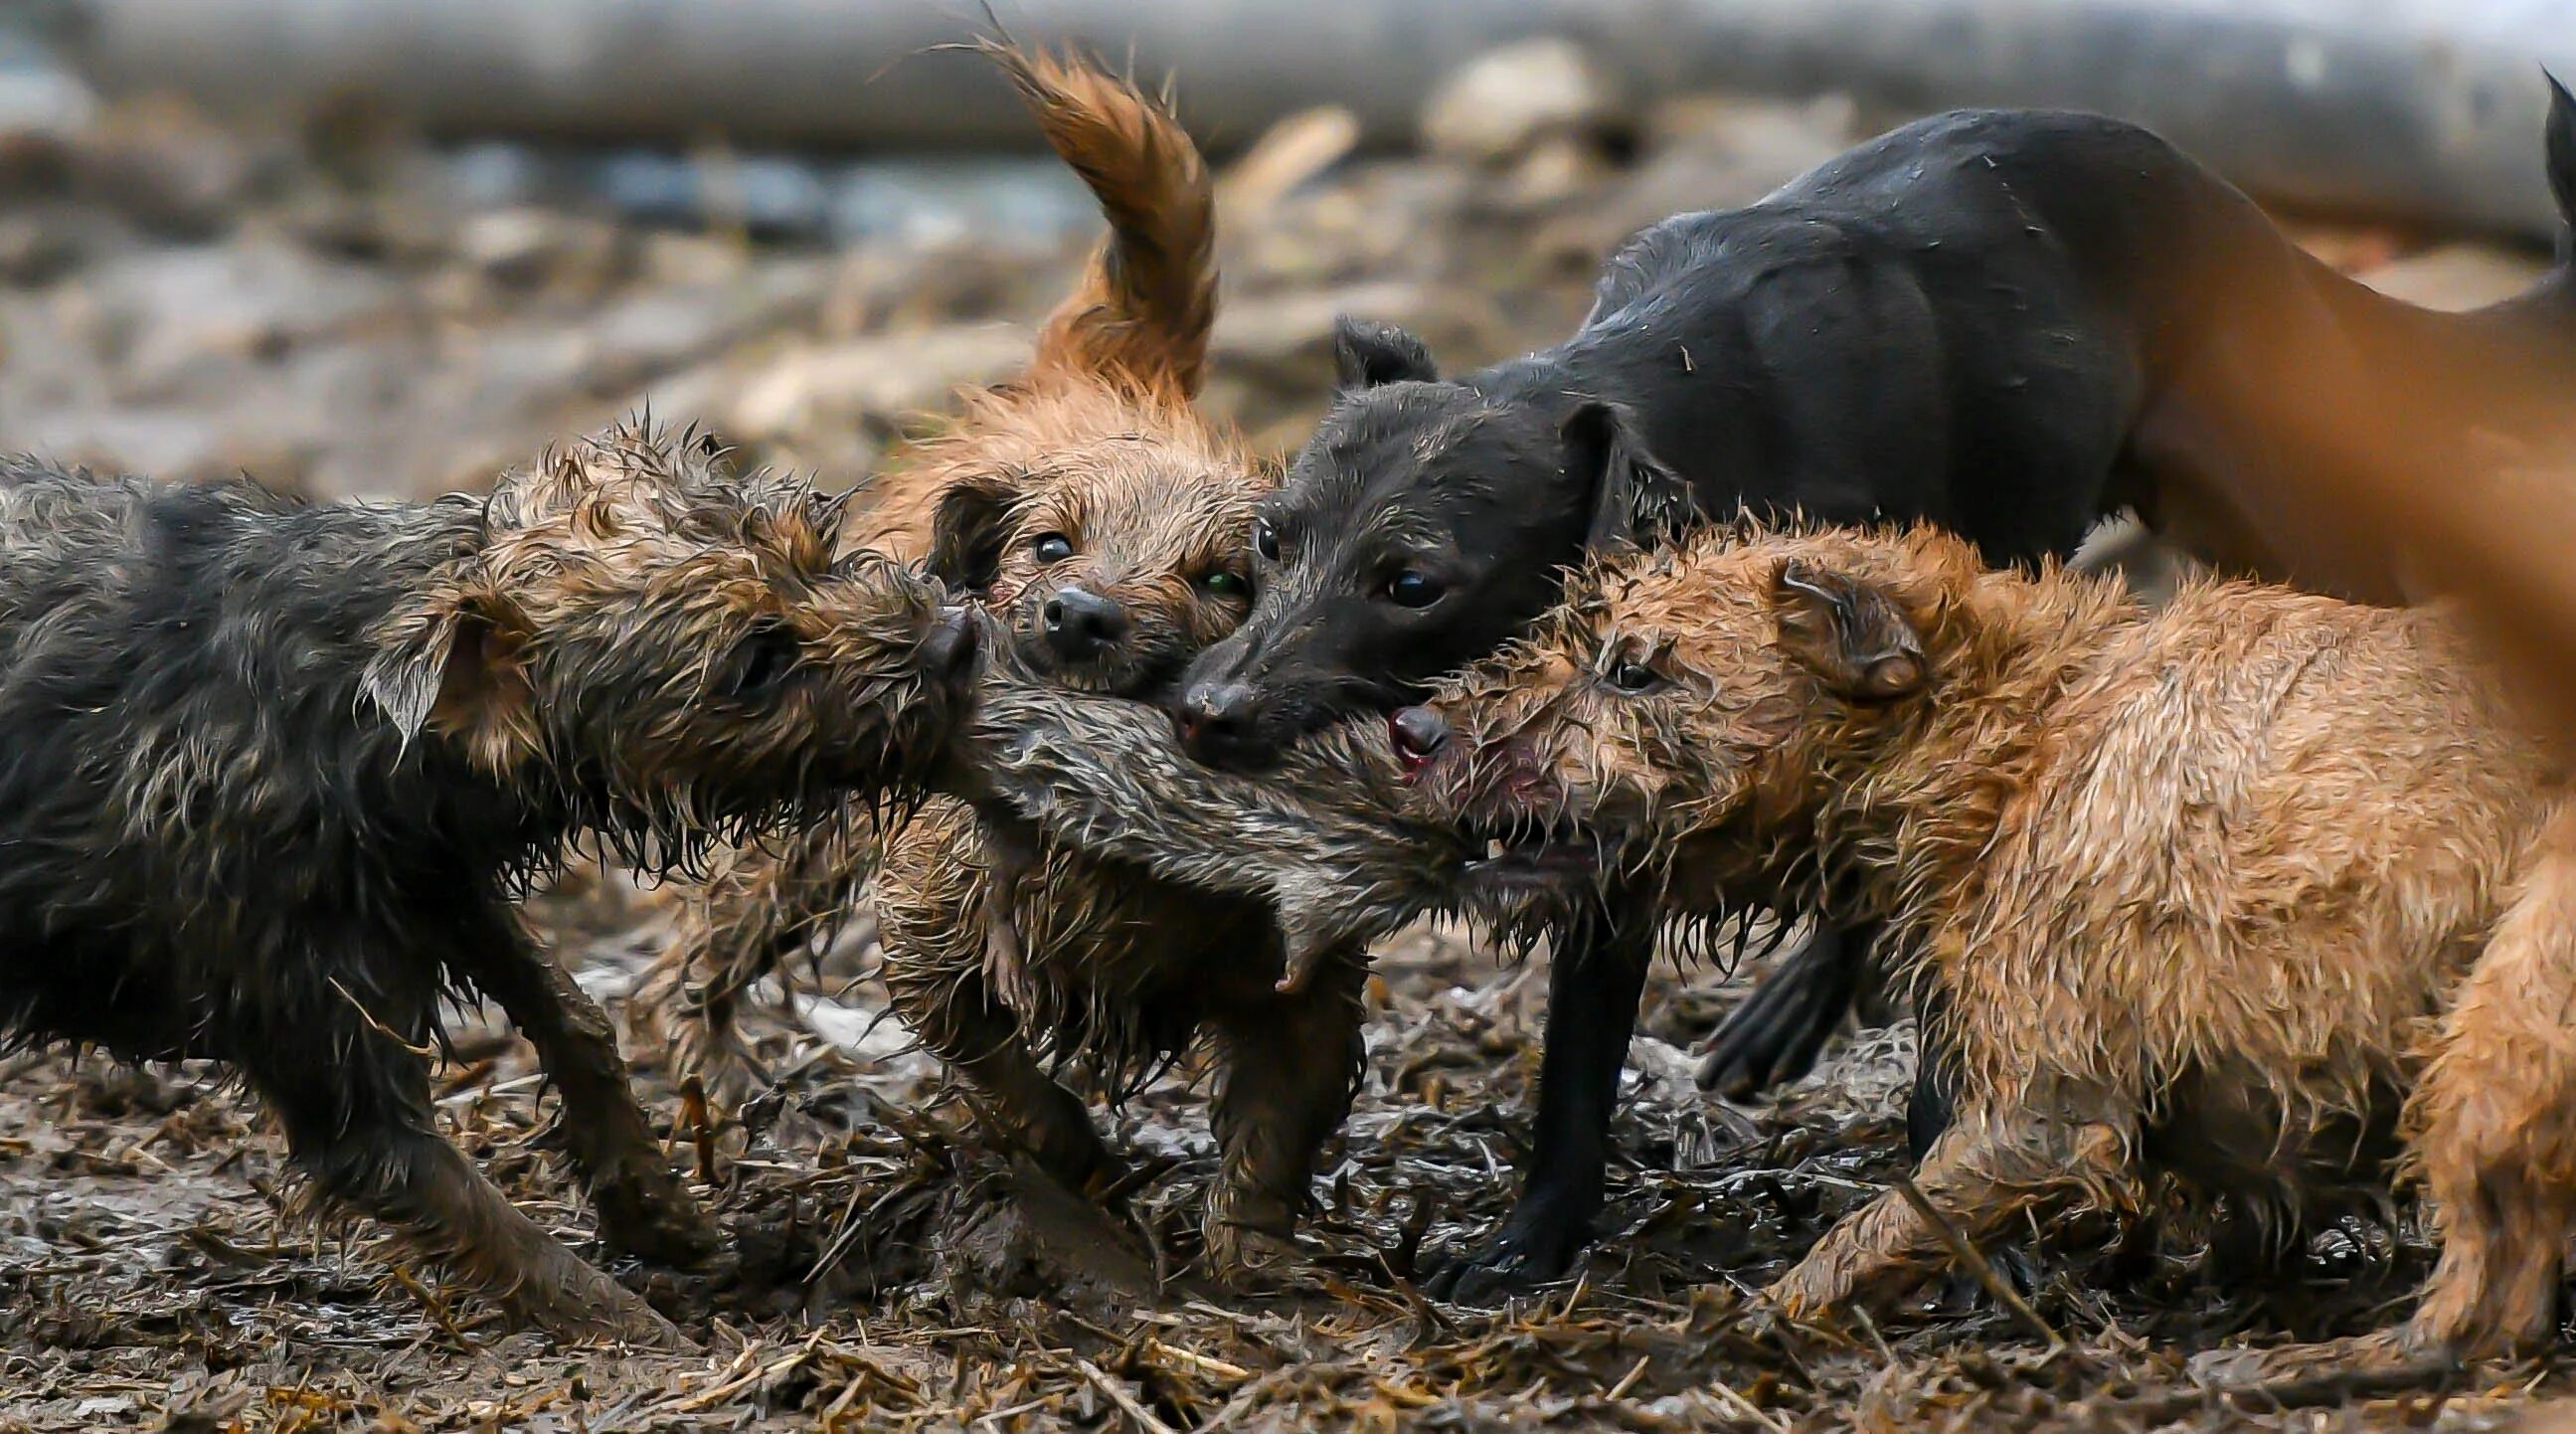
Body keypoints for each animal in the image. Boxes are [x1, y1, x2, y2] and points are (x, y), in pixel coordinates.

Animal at [0, 430, 973, 1348]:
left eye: (818, 549)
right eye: (755, 662)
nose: (955, 641)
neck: (340, 705)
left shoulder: (427, 875)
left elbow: (569, 1014)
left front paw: (653, 1206)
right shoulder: (329, 1051)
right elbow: (505, 1235)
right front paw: (655, 1338)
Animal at [1179, 89, 2576, 1297]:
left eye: (1412, 578)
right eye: (1267, 539)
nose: (1204, 708)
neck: (1684, 402)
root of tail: (2256, 229)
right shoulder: (1621, 811)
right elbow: (1576, 1061)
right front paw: (1527, 1241)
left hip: (2280, 508)